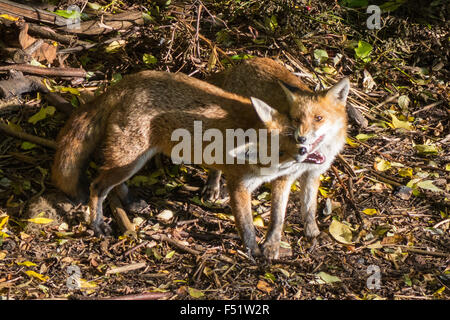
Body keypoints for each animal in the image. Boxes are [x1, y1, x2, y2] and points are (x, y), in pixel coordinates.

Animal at [51, 60, 350, 260]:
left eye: (291, 135)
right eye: (279, 150)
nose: (303, 146)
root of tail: (127, 81)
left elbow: (291, 211)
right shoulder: (239, 185)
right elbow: (247, 224)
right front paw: (253, 251)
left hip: (134, 159)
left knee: (113, 183)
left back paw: (131, 203)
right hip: (128, 158)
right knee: (97, 186)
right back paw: (97, 224)